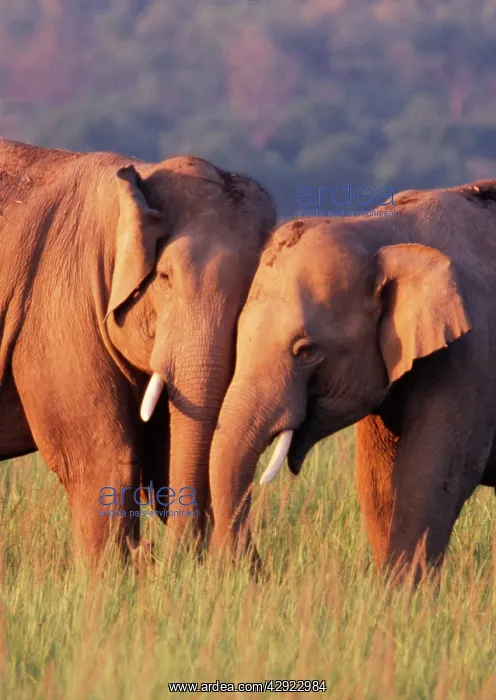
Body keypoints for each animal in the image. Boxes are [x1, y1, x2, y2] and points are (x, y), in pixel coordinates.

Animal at [0, 137, 275, 564]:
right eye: (163, 277)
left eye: (254, 290)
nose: (157, 553)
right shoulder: (57, 312)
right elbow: (102, 460)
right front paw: (111, 575)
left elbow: (163, 459)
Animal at [209, 181, 496, 580]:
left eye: (306, 350)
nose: (259, 571)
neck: (385, 231)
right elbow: (377, 481)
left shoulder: (472, 355)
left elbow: (433, 475)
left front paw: (402, 591)